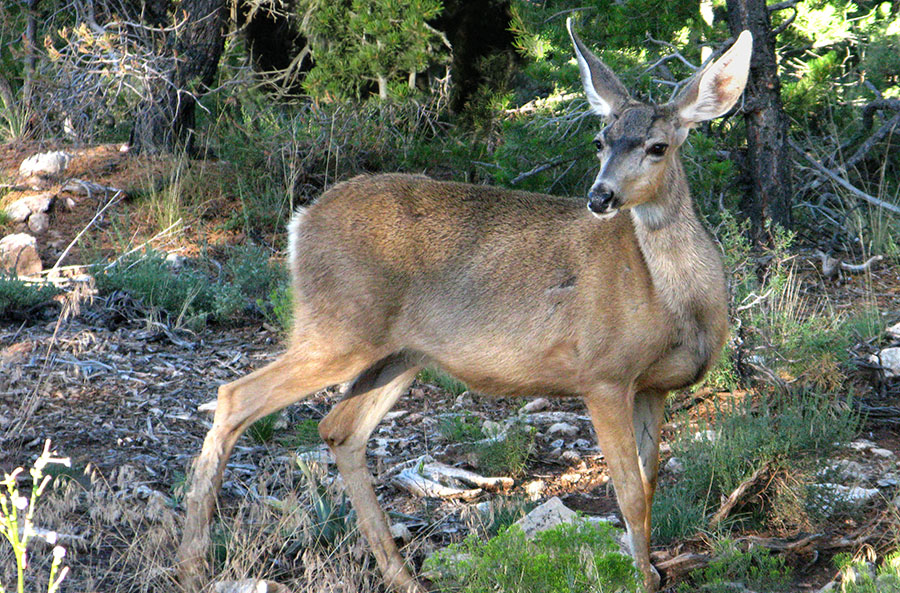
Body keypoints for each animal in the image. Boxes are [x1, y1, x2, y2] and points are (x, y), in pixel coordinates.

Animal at [176, 19, 752, 592]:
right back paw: (191, 563)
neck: (673, 300)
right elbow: (628, 493)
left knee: (340, 429)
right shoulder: (603, 374)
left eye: (657, 147)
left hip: (400, 353)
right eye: (599, 140)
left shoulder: (654, 386)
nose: (600, 196)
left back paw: (400, 575)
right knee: (235, 397)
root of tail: (299, 223)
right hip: (339, 326)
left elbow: (651, 486)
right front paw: (640, 578)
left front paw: (651, 568)